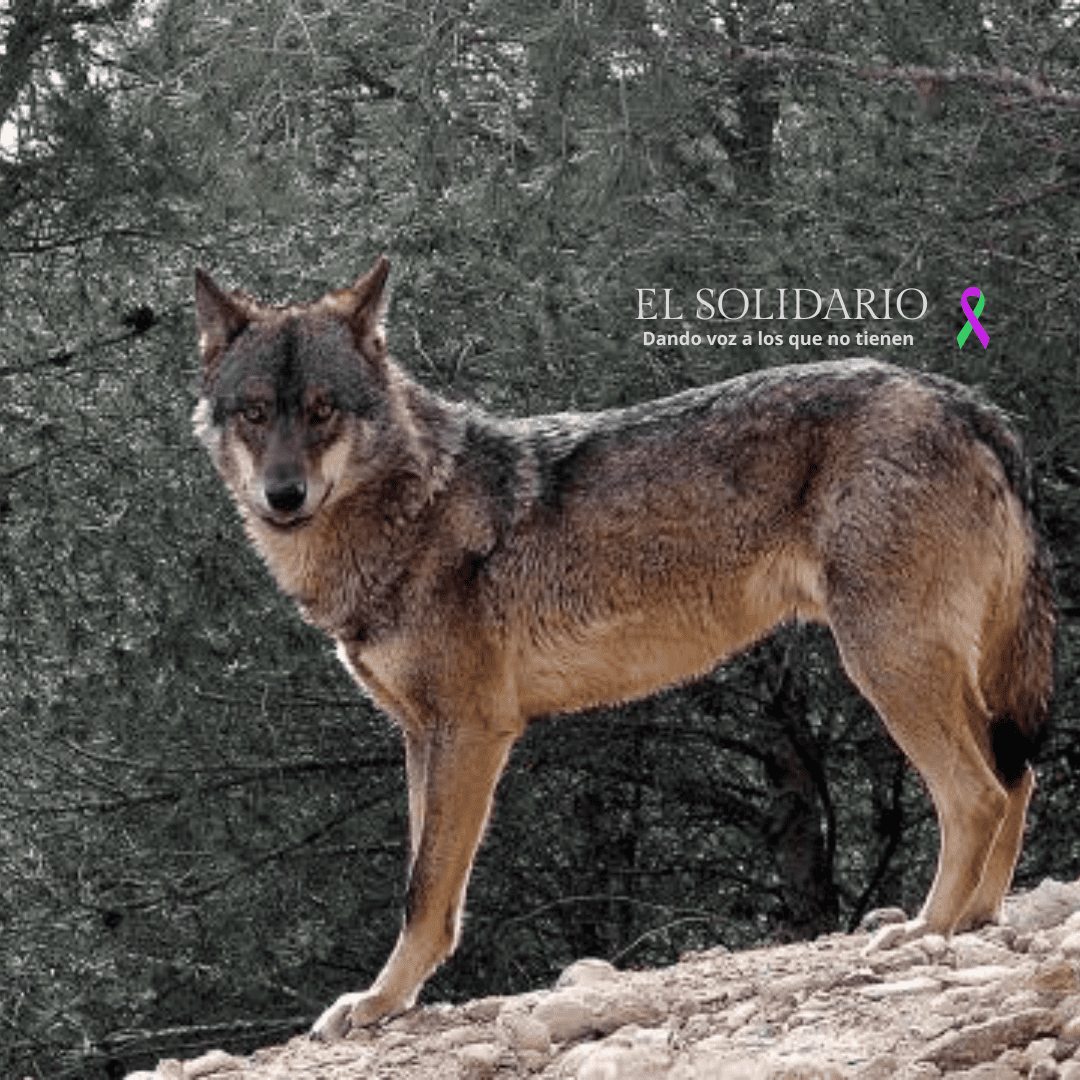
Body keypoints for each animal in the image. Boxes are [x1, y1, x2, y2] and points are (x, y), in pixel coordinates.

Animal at [193, 256, 1055, 1039]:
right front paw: (392, 1000)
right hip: (929, 672)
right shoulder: (419, 734)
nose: (282, 495)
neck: (414, 508)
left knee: (976, 795)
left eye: (323, 410)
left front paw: (377, 1003)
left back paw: (928, 930)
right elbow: (427, 885)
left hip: (884, 664)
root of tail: (970, 403)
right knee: (1018, 777)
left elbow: (423, 890)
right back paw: (976, 923)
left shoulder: (470, 731)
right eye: (256, 413)